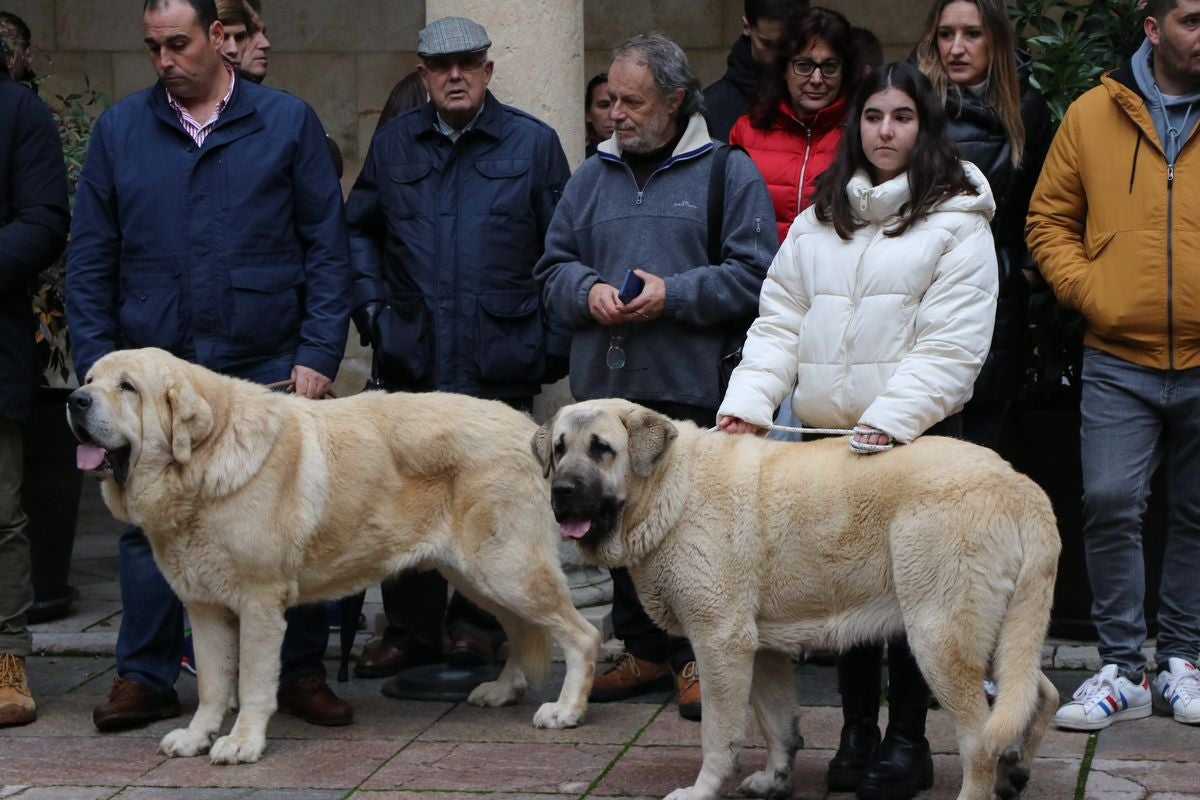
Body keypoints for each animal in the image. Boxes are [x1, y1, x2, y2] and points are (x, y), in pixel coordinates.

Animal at [68, 347, 600, 767]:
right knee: (523, 631)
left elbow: (253, 683)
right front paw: (198, 737)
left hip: (507, 570)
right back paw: (503, 690)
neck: (203, 461)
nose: (74, 399)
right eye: (90, 379)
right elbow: (213, 686)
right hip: (479, 576)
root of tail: (529, 427)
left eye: (127, 387)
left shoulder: (259, 604)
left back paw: (567, 710)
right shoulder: (205, 607)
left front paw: (242, 743)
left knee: (581, 635)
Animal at [535, 400, 1060, 800]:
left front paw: (702, 790)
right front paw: (775, 780)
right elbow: (778, 724)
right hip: (995, 633)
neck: (671, 488)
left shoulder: (720, 642)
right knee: (1035, 695)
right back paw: (1016, 772)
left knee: (979, 740)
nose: (560, 492)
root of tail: (1020, 485)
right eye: (559, 450)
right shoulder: (761, 648)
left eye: (602, 449)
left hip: (938, 636)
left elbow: (717, 734)